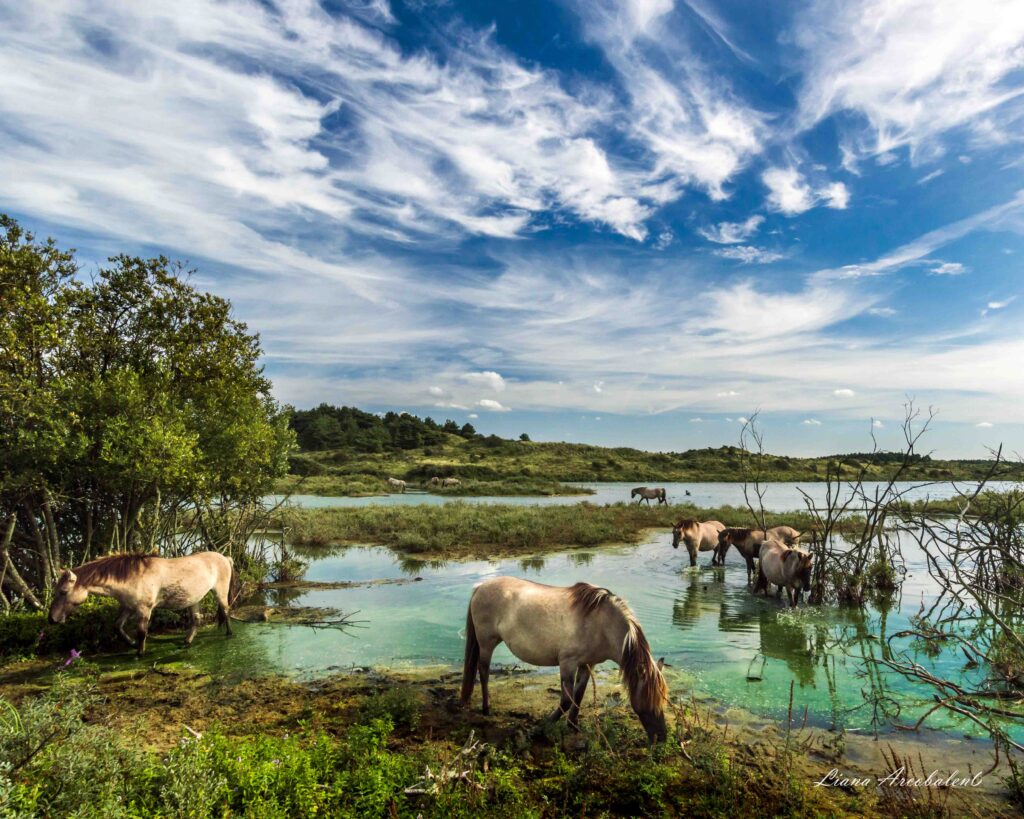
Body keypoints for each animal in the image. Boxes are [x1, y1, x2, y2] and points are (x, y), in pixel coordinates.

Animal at [47, 548, 234, 659]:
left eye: (63, 592)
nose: (51, 619)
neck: (132, 576)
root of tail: (225, 557)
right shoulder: (128, 607)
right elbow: (117, 626)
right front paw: (131, 643)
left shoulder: (144, 609)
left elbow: (142, 631)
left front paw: (139, 652)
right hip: (194, 599)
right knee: (196, 620)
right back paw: (187, 641)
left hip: (220, 593)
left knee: (226, 611)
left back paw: (229, 634)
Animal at [460, 577, 667, 741]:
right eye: (649, 699)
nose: (662, 738)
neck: (601, 622)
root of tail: (481, 587)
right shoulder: (568, 662)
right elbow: (567, 700)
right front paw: (542, 727)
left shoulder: (587, 664)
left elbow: (579, 695)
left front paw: (573, 726)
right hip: (487, 644)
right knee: (483, 672)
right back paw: (486, 708)